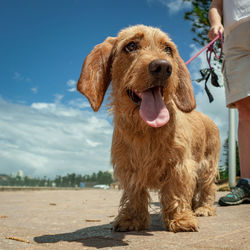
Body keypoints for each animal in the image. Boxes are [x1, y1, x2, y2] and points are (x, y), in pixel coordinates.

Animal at [77, 25, 220, 232]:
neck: (145, 129)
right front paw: (132, 218)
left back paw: (204, 208)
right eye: (131, 46)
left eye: (168, 49)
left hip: (208, 166)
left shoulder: (180, 165)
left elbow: (176, 190)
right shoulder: (129, 167)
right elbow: (134, 192)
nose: (163, 67)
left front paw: (181, 218)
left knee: (208, 187)